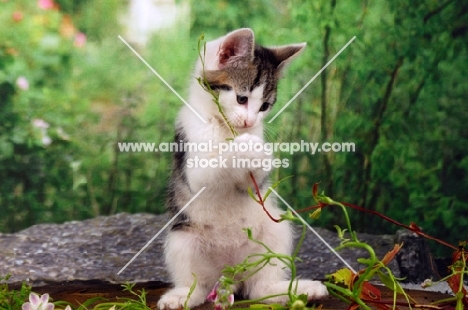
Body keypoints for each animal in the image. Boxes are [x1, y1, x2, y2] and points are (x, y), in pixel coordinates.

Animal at [157, 27, 326, 308]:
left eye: (265, 106)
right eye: (241, 98)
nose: (249, 122)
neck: (222, 125)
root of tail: (230, 275)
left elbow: (254, 179)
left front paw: (261, 151)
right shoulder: (191, 153)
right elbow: (207, 172)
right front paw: (244, 146)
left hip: (275, 231)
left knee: (260, 289)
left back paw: (298, 290)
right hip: (181, 239)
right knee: (199, 286)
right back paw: (181, 296)